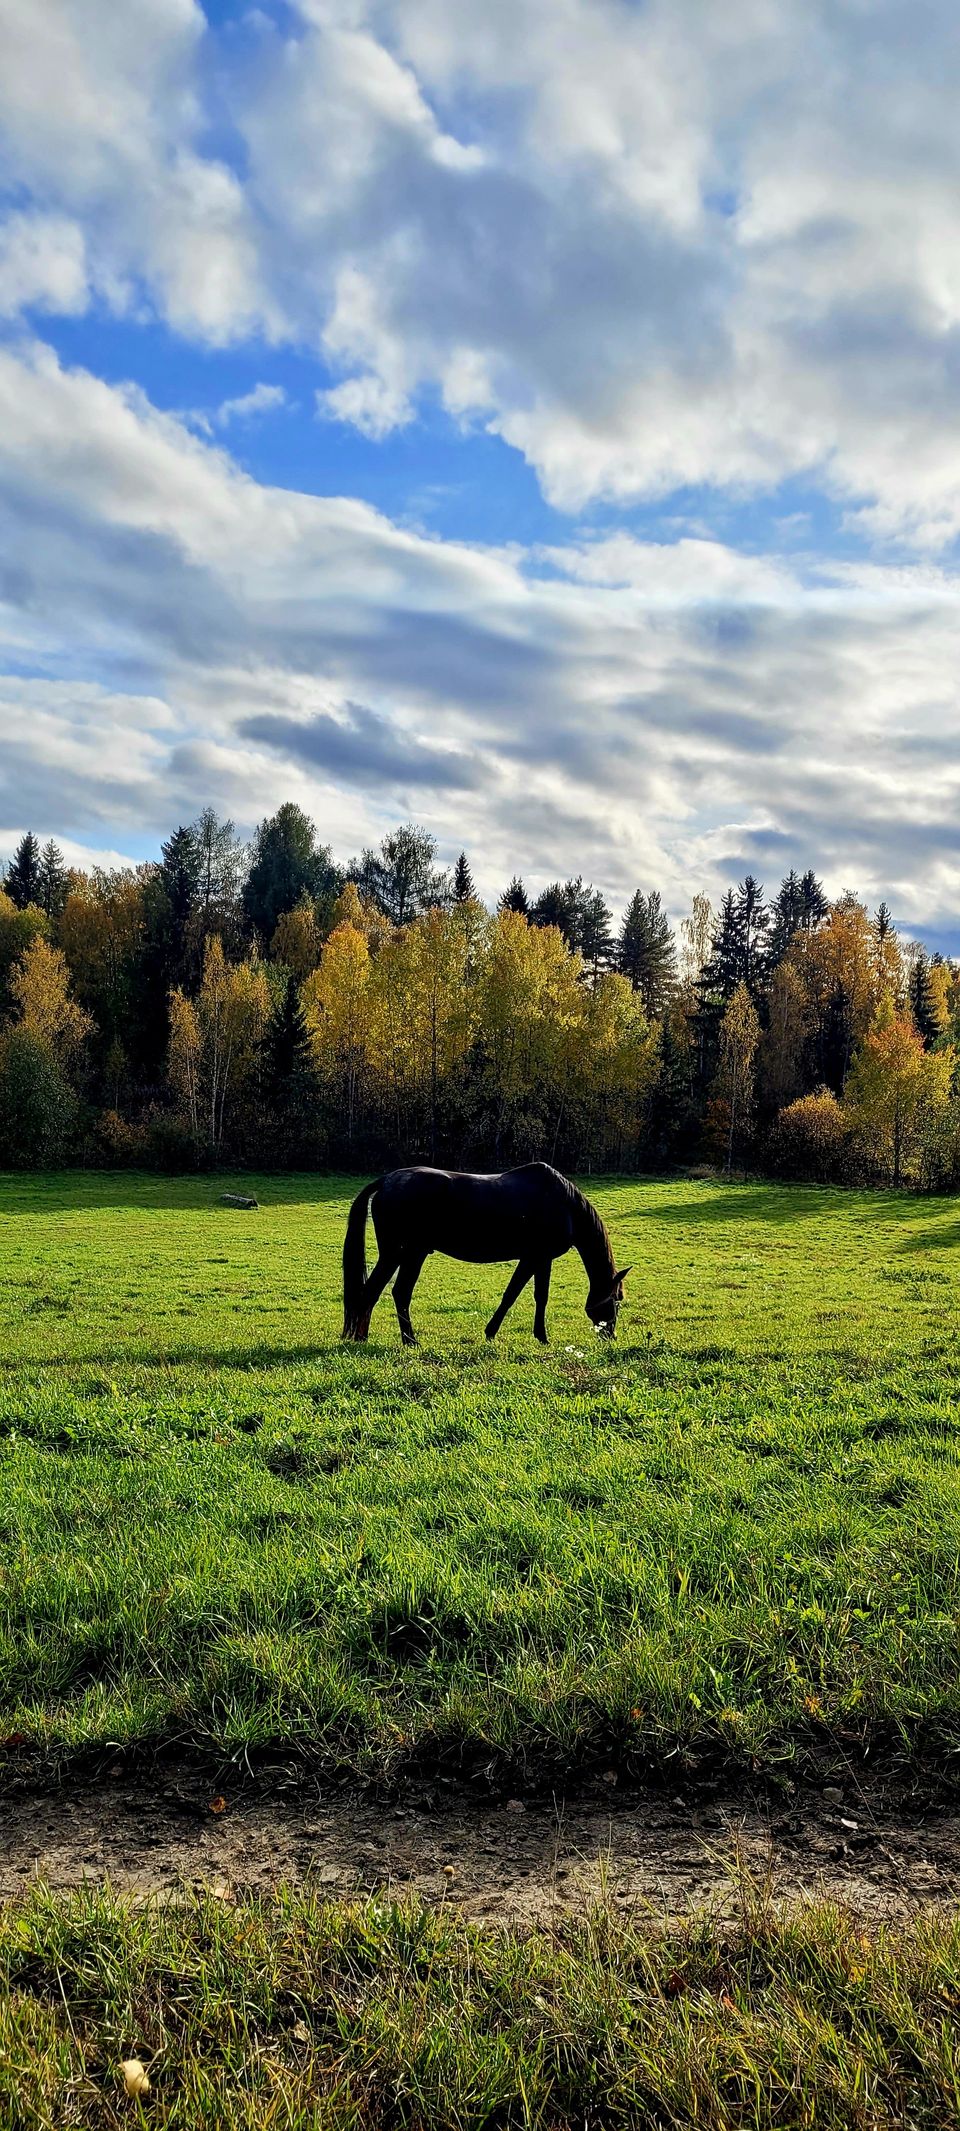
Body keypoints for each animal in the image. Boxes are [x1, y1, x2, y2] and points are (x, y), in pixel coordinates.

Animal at [339, 1167, 631, 1346]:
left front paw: (537, 1336)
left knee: (391, 1292)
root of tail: (387, 1181)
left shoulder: (539, 1258)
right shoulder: (534, 1257)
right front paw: (497, 1333)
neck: (565, 1205)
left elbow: (535, 1296)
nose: (611, 1334)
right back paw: (389, 1339)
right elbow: (516, 1295)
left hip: (411, 1253)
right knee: (378, 1291)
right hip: (401, 1253)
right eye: (616, 1300)